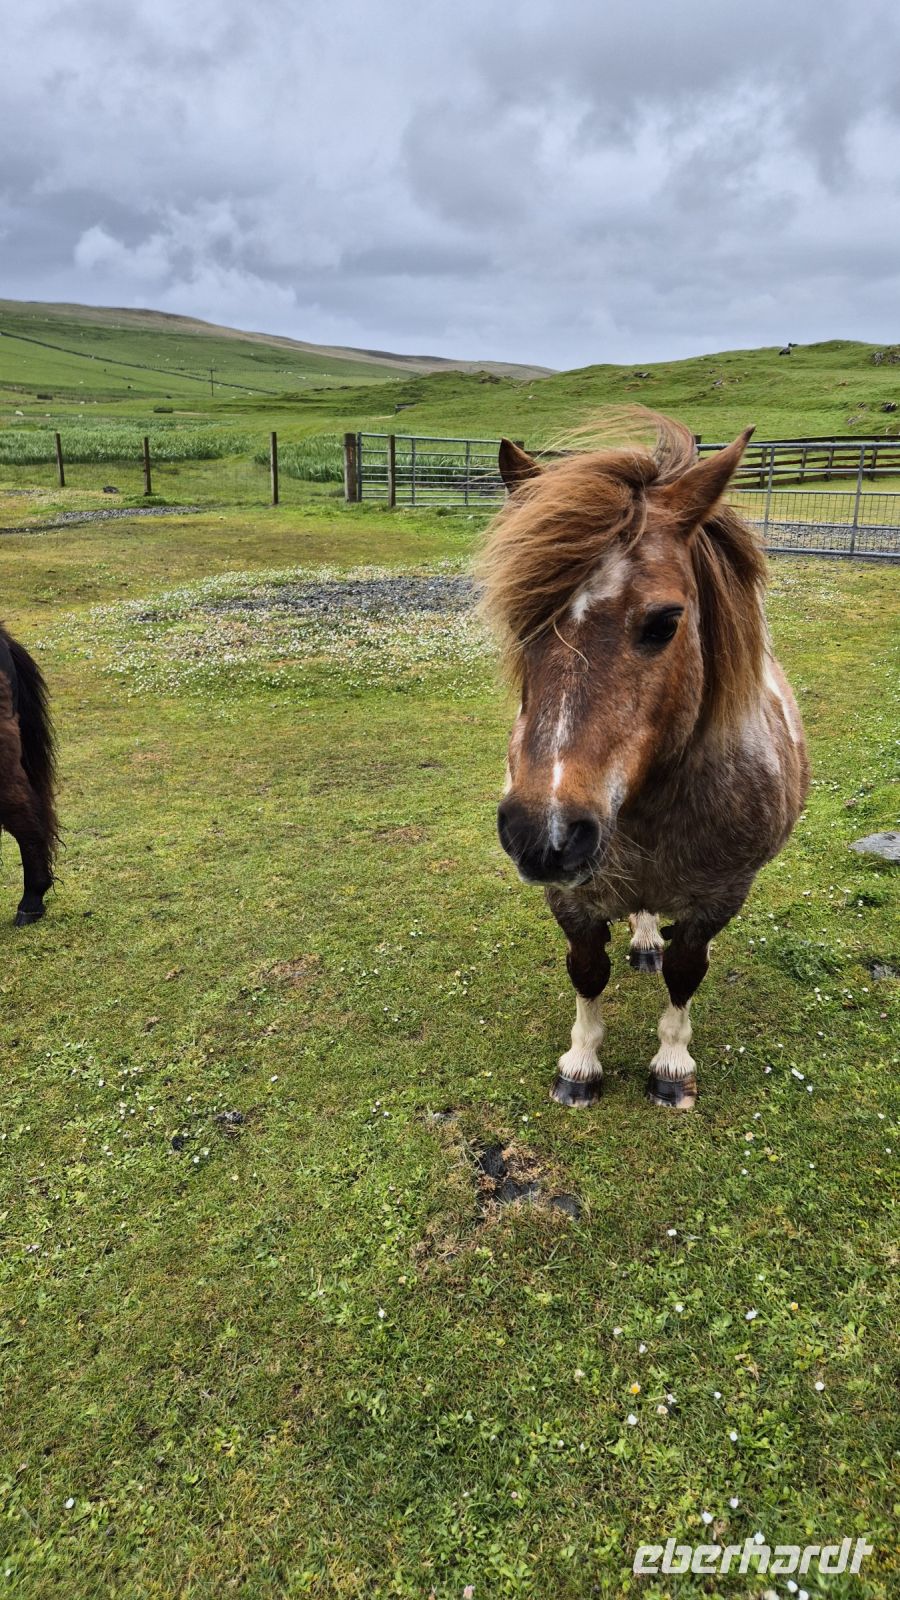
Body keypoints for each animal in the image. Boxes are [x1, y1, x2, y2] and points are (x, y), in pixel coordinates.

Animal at [478, 411, 809, 1111]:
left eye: (664, 622)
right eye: (523, 623)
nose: (543, 833)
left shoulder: (719, 899)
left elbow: (686, 972)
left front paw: (673, 1064)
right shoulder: (570, 898)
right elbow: (587, 971)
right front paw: (580, 1063)